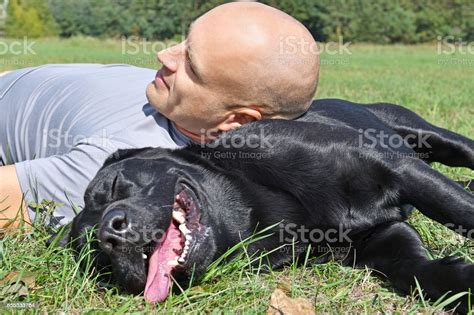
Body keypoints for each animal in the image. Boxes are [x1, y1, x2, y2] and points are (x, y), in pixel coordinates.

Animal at [67, 99, 474, 314]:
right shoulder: (384, 237)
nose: (109, 233)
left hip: (428, 136)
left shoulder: (401, 170)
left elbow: (462, 212)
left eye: (113, 186)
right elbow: (418, 271)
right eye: (98, 256)